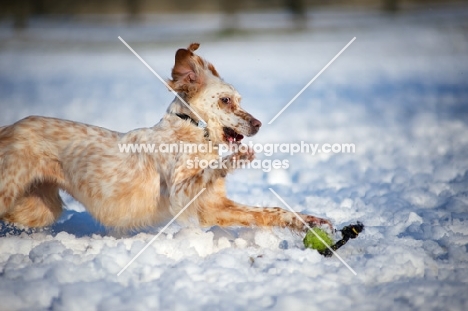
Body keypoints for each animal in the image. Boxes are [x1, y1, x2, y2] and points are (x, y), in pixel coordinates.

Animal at [0, 43, 332, 234]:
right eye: (226, 101)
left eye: (239, 100)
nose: (258, 124)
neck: (193, 131)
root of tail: (8, 129)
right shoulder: (179, 195)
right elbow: (209, 171)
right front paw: (235, 159)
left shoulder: (212, 205)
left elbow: (273, 211)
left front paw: (312, 221)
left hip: (40, 209)